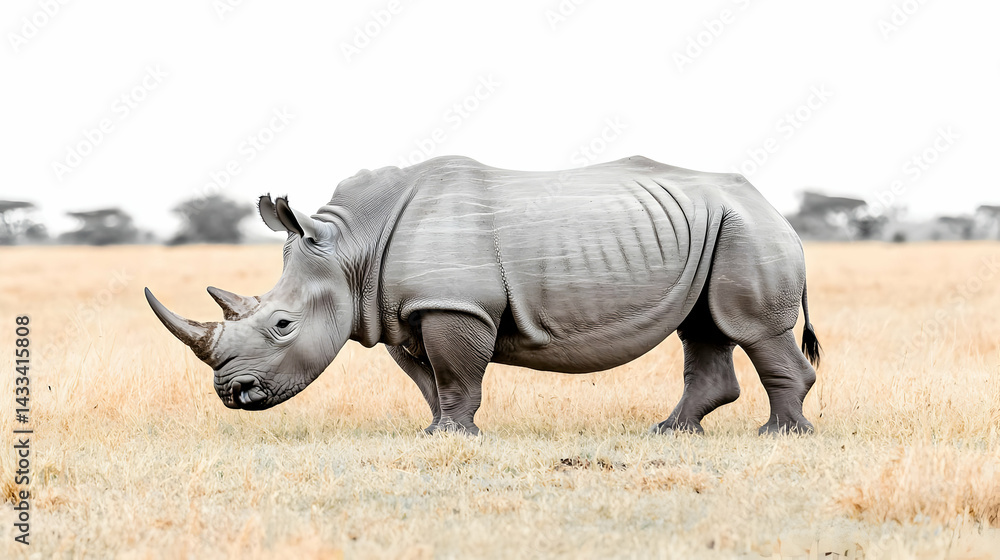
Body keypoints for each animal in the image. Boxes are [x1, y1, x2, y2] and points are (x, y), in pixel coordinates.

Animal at [146, 155, 821, 435]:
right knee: (704, 328)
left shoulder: (453, 304)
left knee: (751, 329)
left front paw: (453, 437)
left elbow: (456, 372)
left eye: (282, 325)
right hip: (718, 226)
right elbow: (429, 380)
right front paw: (436, 432)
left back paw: (779, 436)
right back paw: (670, 433)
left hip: (747, 228)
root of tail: (771, 204)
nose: (232, 394)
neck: (352, 248)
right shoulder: (402, 309)